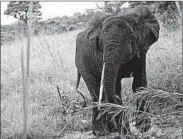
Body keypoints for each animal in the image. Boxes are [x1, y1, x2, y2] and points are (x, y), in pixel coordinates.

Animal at [75, 5, 159, 136]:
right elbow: (115, 88)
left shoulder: (141, 50)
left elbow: (139, 85)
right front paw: (127, 134)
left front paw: (144, 128)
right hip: (81, 64)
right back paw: (100, 132)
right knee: (96, 93)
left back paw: (110, 130)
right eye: (101, 41)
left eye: (131, 37)